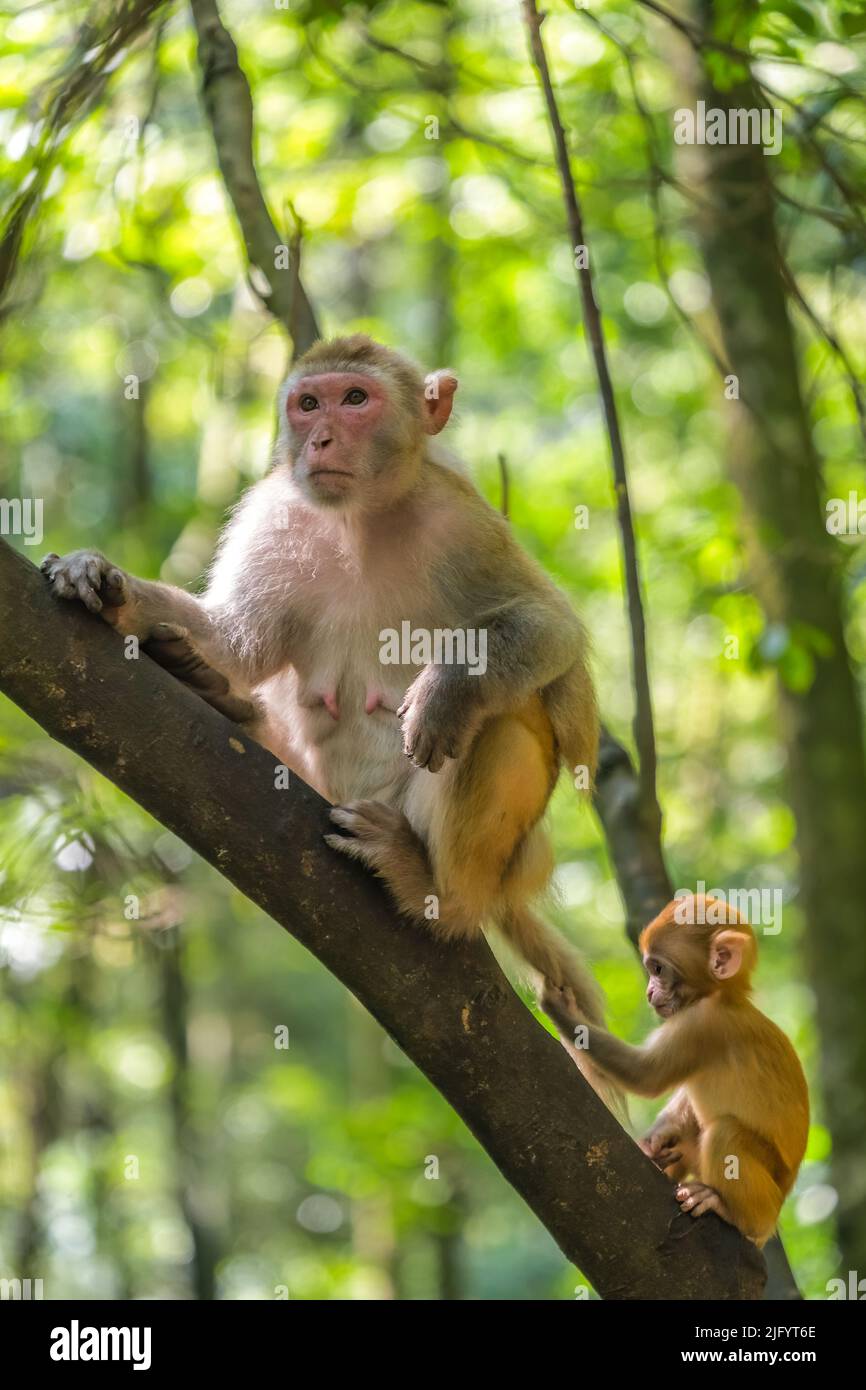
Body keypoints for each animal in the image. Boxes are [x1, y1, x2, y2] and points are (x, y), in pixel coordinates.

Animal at [45, 333, 603, 1034]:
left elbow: (551, 628)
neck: (359, 520)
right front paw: (101, 579)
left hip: (482, 851)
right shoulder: (273, 518)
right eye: (308, 404)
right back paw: (212, 690)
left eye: (356, 399)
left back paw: (436, 892)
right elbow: (238, 641)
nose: (321, 440)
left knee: (500, 721)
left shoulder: (463, 521)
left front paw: (445, 692)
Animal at [578, 900, 811, 1251]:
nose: (649, 992)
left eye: (658, 969)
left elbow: (646, 1075)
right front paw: (657, 1137)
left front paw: (560, 1005)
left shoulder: (703, 1024)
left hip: (767, 1196)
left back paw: (731, 1211)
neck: (722, 997)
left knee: (724, 1132)